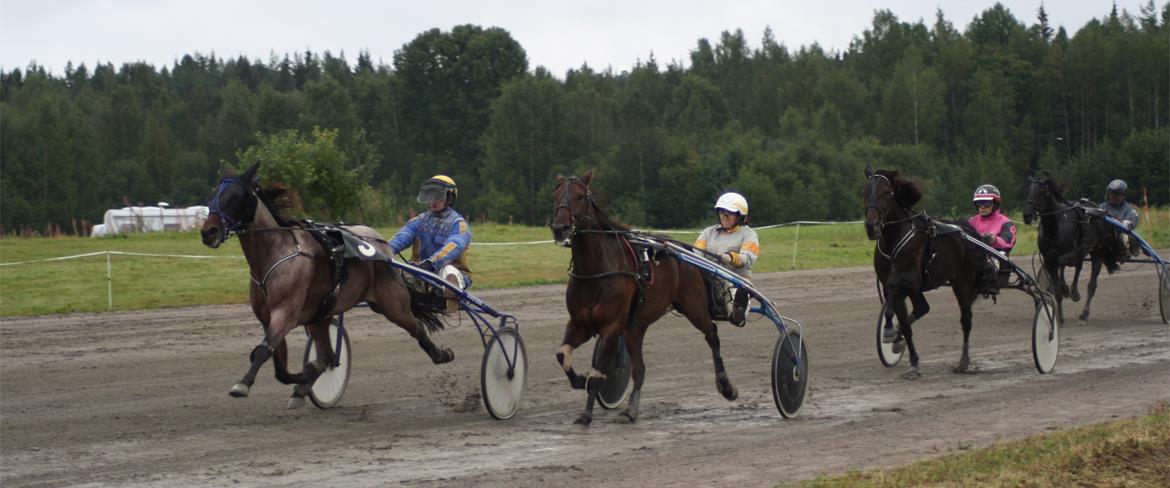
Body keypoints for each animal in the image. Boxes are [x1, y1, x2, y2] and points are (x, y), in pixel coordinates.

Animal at [200, 162, 453, 407]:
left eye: (236, 196)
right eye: (213, 196)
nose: (208, 231)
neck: (276, 253)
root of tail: (383, 247)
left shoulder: (285, 313)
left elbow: (263, 351)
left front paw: (242, 384)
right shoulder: (268, 318)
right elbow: (279, 365)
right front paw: (303, 378)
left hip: (391, 303)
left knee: (416, 327)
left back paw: (442, 354)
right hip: (320, 316)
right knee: (326, 355)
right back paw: (306, 385)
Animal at [550, 170, 737, 425]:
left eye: (579, 196)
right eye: (555, 196)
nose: (560, 228)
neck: (594, 271)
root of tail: (683, 251)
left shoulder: (611, 327)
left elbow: (598, 372)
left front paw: (586, 414)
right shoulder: (579, 323)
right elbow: (562, 354)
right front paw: (579, 380)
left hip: (693, 305)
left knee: (712, 333)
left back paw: (726, 385)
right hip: (636, 327)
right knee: (639, 369)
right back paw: (631, 409)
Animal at [864, 165, 992, 379]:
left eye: (887, 193)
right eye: (865, 192)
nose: (871, 226)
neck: (893, 240)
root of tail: (967, 232)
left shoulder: (908, 277)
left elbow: (893, 290)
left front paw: (889, 328)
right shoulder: (894, 283)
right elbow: (904, 323)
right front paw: (910, 358)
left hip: (962, 282)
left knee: (966, 320)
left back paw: (963, 362)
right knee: (922, 308)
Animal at [1023, 175, 1122, 322]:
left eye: (1042, 192)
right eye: (1028, 191)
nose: (1027, 215)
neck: (1055, 227)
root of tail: (1099, 211)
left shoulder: (1070, 253)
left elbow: (1064, 263)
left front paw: (1067, 289)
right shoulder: (1048, 259)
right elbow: (1056, 289)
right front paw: (1059, 317)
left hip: (1097, 252)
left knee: (1090, 283)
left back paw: (1083, 311)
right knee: (1078, 266)